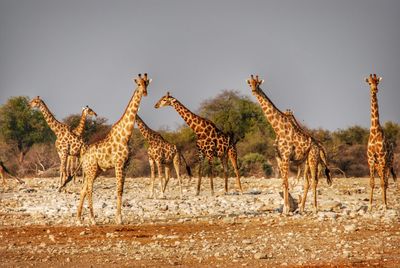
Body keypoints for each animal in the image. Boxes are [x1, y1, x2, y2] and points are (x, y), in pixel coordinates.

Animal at [76, 73, 150, 224]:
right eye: (138, 84)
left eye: (147, 83)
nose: (145, 93)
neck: (126, 136)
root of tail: (83, 157)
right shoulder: (118, 163)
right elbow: (118, 189)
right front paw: (119, 219)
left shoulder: (126, 165)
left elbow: (122, 189)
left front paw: (119, 217)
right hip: (92, 169)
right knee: (89, 189)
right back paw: (92, 219)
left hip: (95, 170)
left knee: (83, 189)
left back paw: (79, 219)